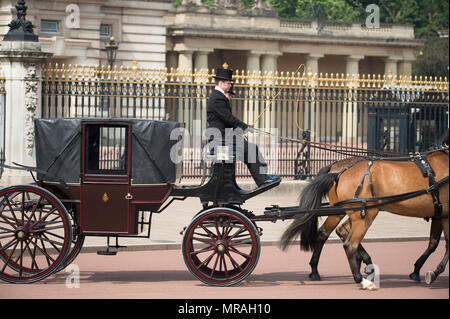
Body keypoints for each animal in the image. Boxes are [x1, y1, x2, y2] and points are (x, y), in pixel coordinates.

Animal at [282, 139, 446, 288]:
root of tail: (335, 169)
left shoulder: (440, 214)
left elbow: (435, 243)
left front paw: (421, 270)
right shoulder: (443, 215)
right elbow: (437, 244)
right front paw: (426, 271)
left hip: (343, 210)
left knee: (330, 232)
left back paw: (319, 269)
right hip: (363, 213)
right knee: (347, 239)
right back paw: (360, 273)